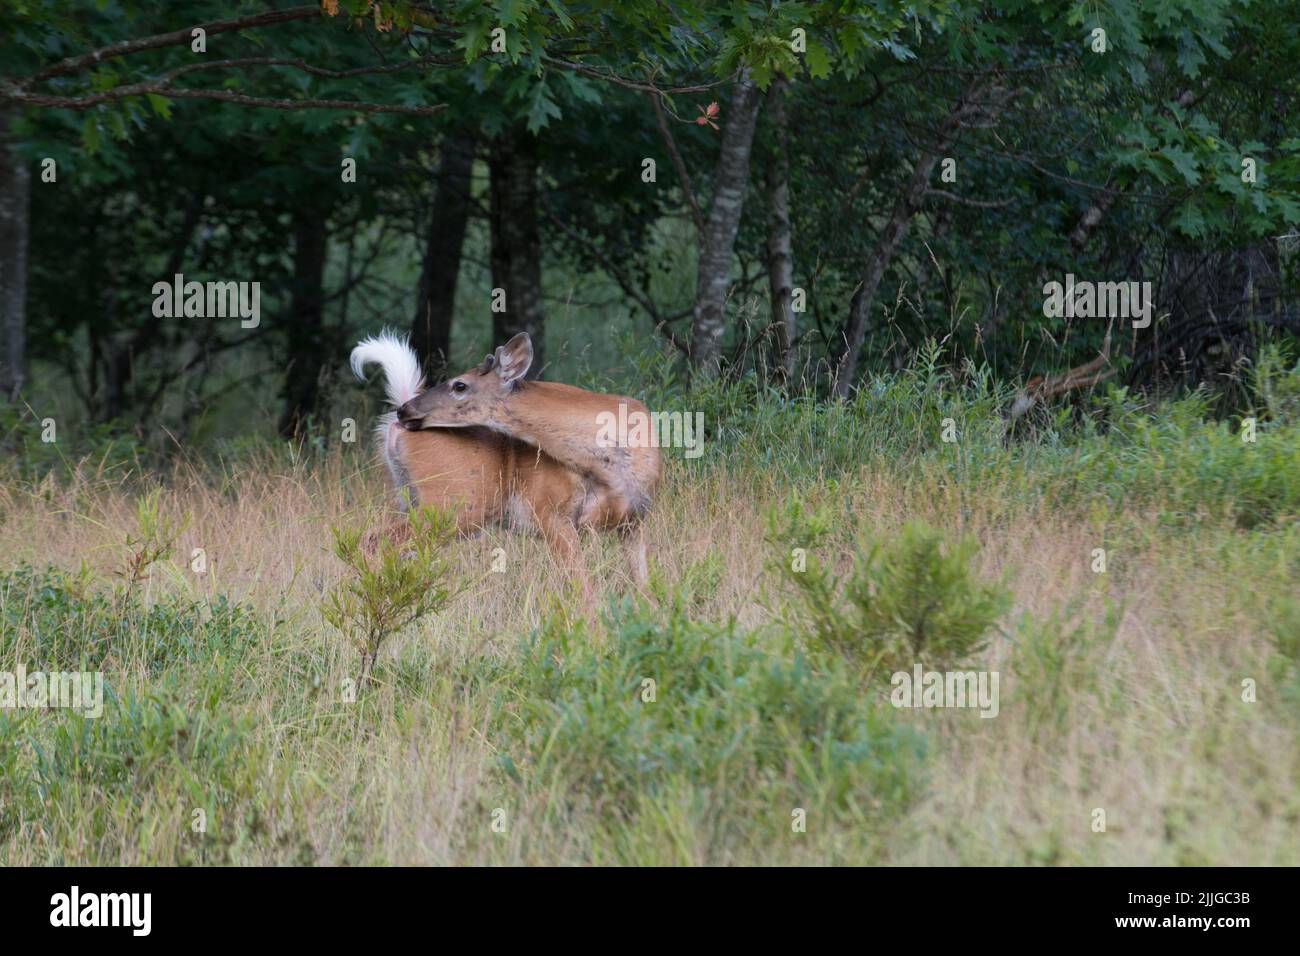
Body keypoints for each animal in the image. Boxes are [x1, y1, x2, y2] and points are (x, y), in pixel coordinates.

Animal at [351, 332, 660, 600]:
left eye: (459, 385)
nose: (406, 410)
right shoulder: (550, 512)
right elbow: (584, 590)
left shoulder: (636, 519)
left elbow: (644, 588)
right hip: (453, 504)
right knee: (373, 540)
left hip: (414, 499)